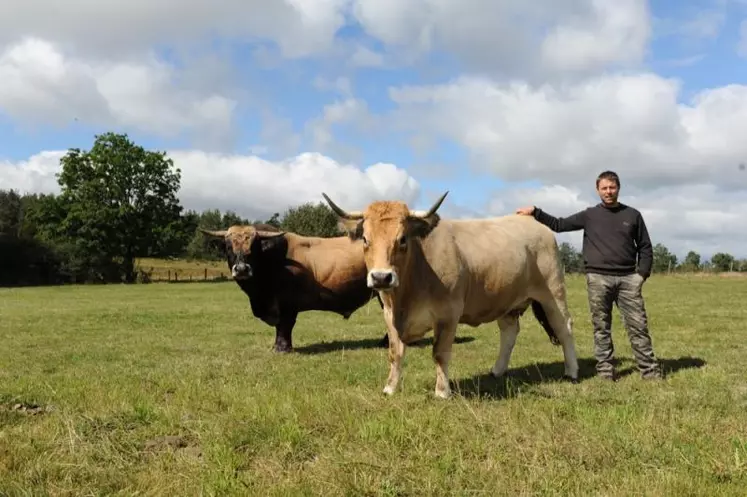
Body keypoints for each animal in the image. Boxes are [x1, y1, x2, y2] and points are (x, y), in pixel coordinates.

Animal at [200, 223, 386, 350]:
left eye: (254, 247)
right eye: (228, 246)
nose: (241, 269)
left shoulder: (288, 302)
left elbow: (285, 324)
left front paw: (282, 348)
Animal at [322, 191, 580, 400]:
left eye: (402, 239)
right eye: (366, 239)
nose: (381, 277)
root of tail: (536, 225)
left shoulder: (448, 314)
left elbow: (440, 353)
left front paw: (442, 391)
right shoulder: (389, 314)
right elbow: (395, 353)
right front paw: (390, 388)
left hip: (553, 292)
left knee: (564, 327)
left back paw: (572, 371)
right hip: (507, 300)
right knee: (509, 332)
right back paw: (497, 370)